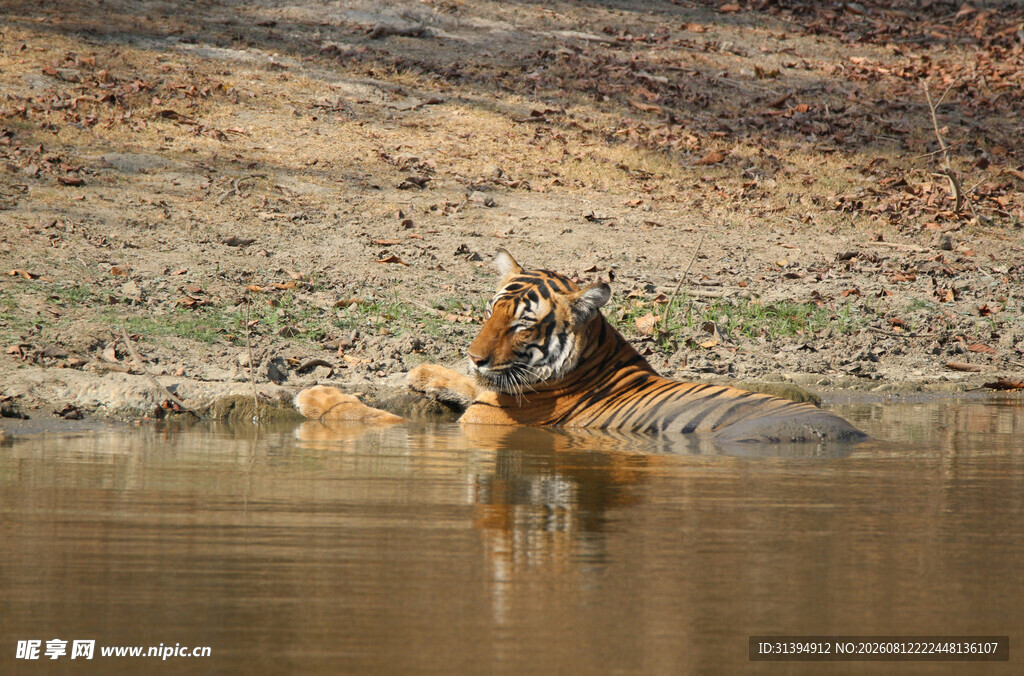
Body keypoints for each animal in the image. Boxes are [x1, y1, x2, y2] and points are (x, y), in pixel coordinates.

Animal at [294, 249, 865, 443]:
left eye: (522, 326)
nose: (475, 355)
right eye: (491, 312)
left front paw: (317, 397)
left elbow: (385, 421)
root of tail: (855, 433)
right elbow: (468, 385)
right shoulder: (491, 395)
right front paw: (424, 372)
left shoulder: (487, 422)